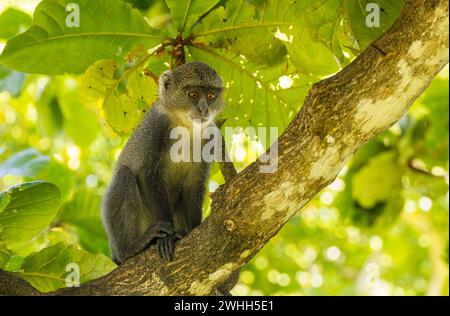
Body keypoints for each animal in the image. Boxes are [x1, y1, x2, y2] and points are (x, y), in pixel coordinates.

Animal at [100, 61, 237, 294]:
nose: (204, 109)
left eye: (211, 95)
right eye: (193, 94)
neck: (185, 125)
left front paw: (193, 230)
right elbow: (148, 174)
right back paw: (132, 249)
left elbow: (195, 184)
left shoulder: (210, 136)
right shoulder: (156, 127)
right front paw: (168, 238)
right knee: (126, 176)